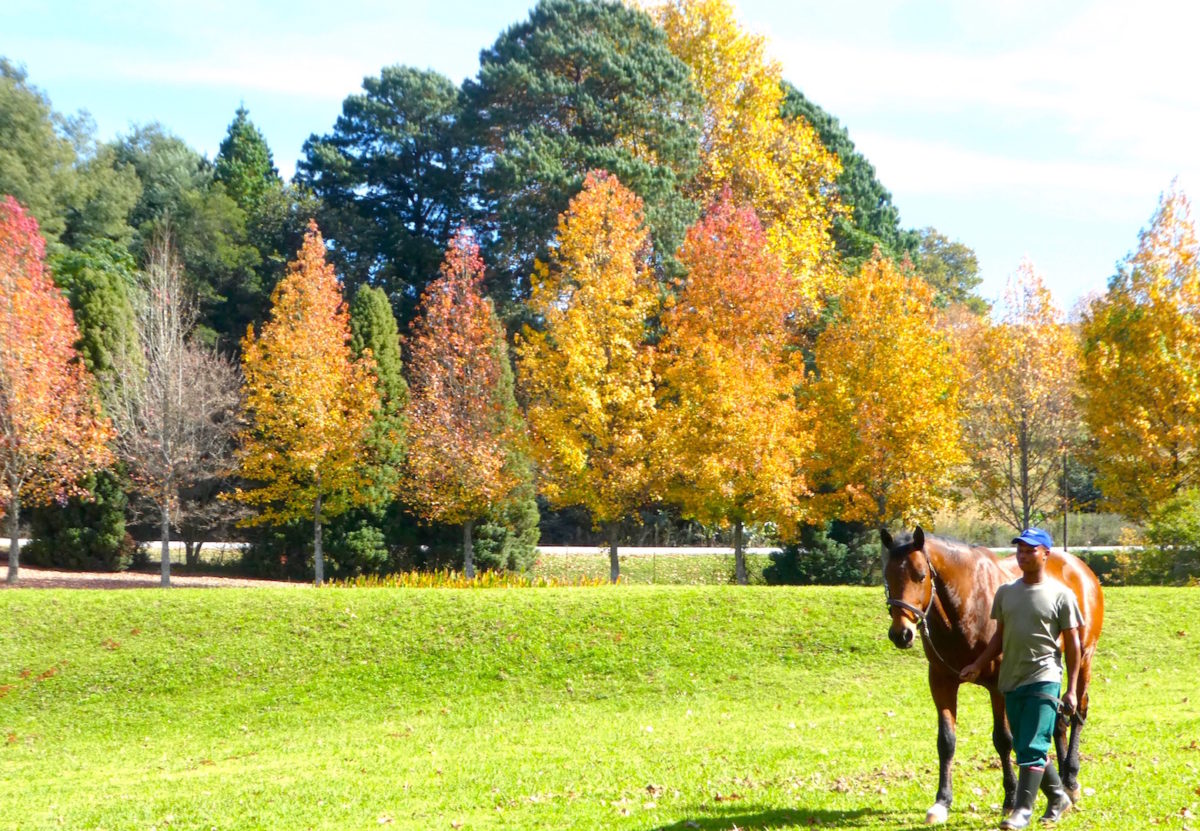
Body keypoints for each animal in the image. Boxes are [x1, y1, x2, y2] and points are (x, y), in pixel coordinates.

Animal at [878, 525, 1099, 826]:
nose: (901, 634)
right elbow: (946, 741)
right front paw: (942, 802)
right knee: (1058, 720)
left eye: (920, 575)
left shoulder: (998, 687)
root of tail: (1079, 567)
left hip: (1083, 657)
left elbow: (1004, 740)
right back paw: (1063, 784)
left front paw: (1010, 799)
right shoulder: (941, 682)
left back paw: (1072, 781)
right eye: (887, 576)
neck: (967, 604)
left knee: (1077, 712)